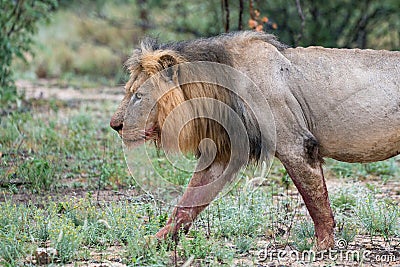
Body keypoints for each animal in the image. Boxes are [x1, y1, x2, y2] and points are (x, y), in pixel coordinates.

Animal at [111, 31, 400, 251]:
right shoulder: (223, 154)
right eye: (128, 91)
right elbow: (188, 202)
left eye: (138, 95)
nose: (115, 125)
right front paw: (154, 242)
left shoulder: (296, 144)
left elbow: (315, 201)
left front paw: (323, 246)